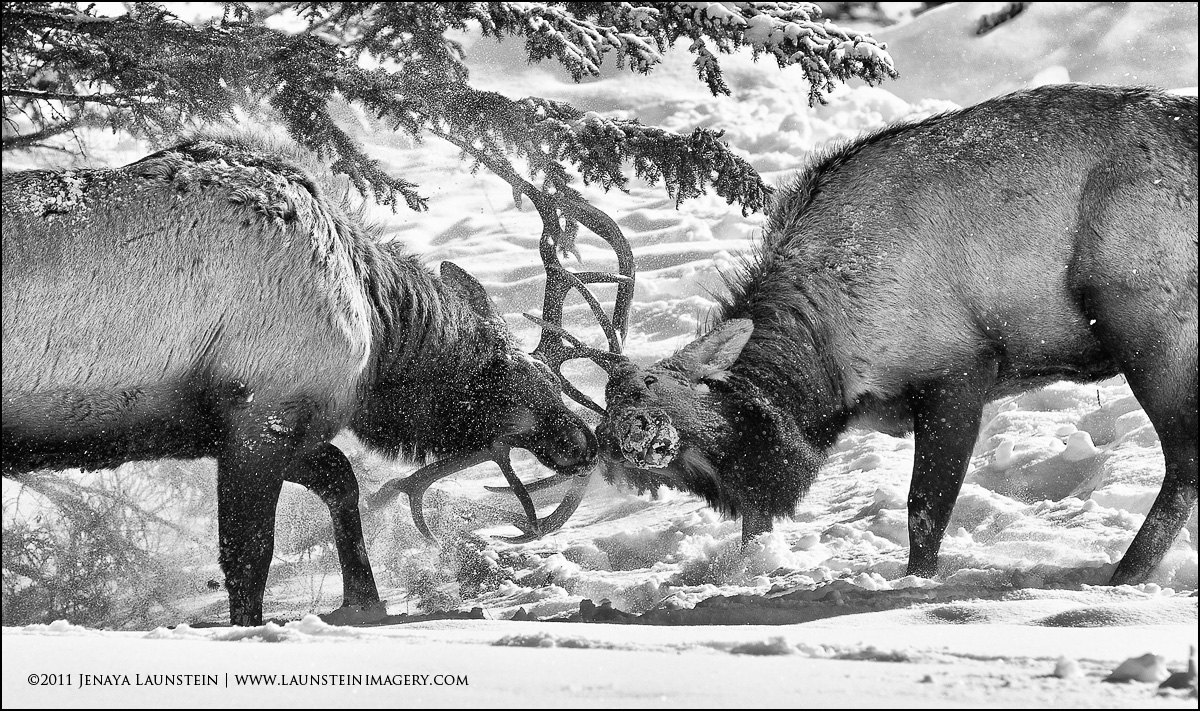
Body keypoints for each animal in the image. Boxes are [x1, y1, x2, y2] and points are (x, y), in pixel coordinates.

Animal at [1, 132, 633, 626]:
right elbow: (248, 555)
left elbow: (340, 480)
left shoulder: (255, 427)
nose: (583, 442)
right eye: (515, 379)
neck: (376, 326)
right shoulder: (261, 415)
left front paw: (365, 602)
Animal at [554, 84, 1197, 586]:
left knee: (1185, 458)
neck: (827, 375)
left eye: (668, 384)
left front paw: (913, 584)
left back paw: (1125, 575)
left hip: (1149, 323)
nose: (629, 434)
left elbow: (924, 511)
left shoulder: (959, 367)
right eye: (610, 403)